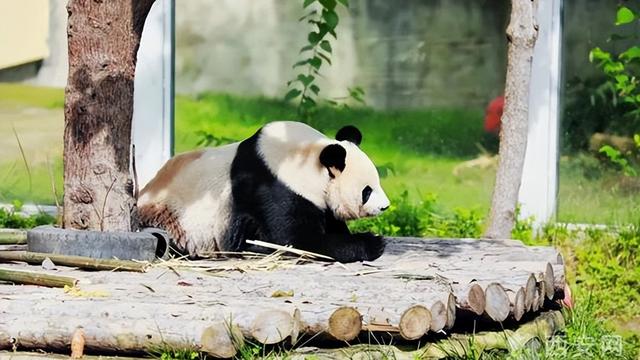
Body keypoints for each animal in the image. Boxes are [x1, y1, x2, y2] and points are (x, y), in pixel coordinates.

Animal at [138, 120, 390, 262]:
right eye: (367, 191)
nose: (385, 206)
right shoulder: (272, 186)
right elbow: (296, 239)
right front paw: (371, 242)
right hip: (171, 217)